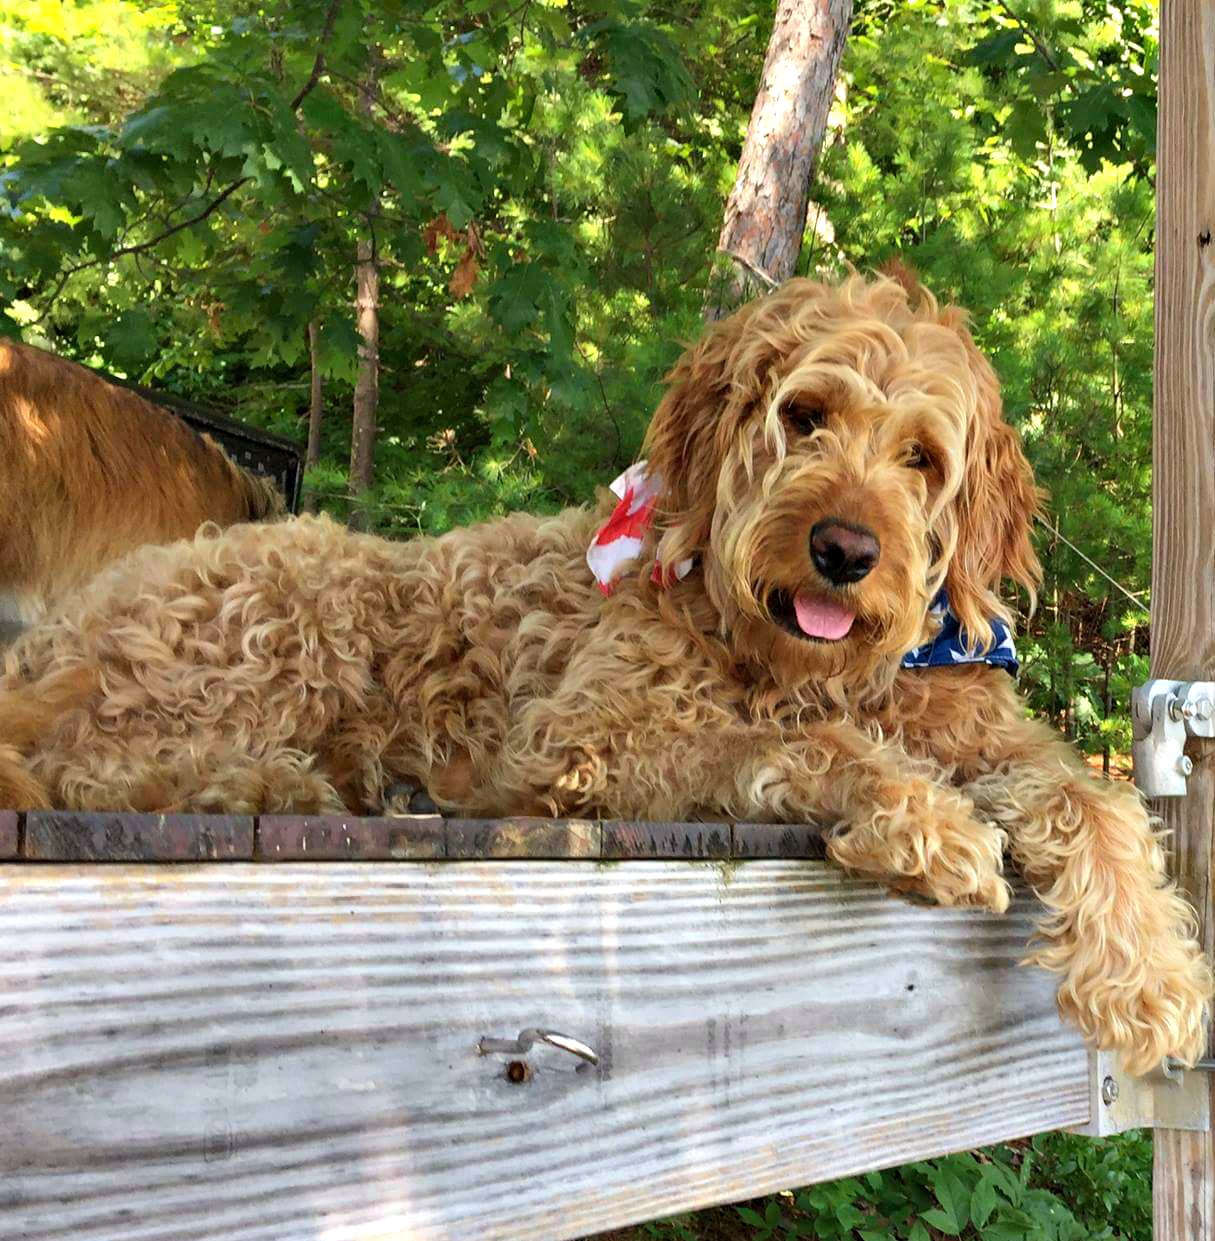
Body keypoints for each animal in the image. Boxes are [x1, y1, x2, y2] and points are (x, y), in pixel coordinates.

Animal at [0, 276, 1206, 1072]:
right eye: (803, 415)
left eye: (921, 457)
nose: (845, 550)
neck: (806, 660)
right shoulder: (585, 734)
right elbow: (784, 741)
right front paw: (929, 821)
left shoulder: (970, 721)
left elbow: (1094, 797)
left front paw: (1149, 974)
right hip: (299, 599)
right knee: (86, 763)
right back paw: (276, 783)